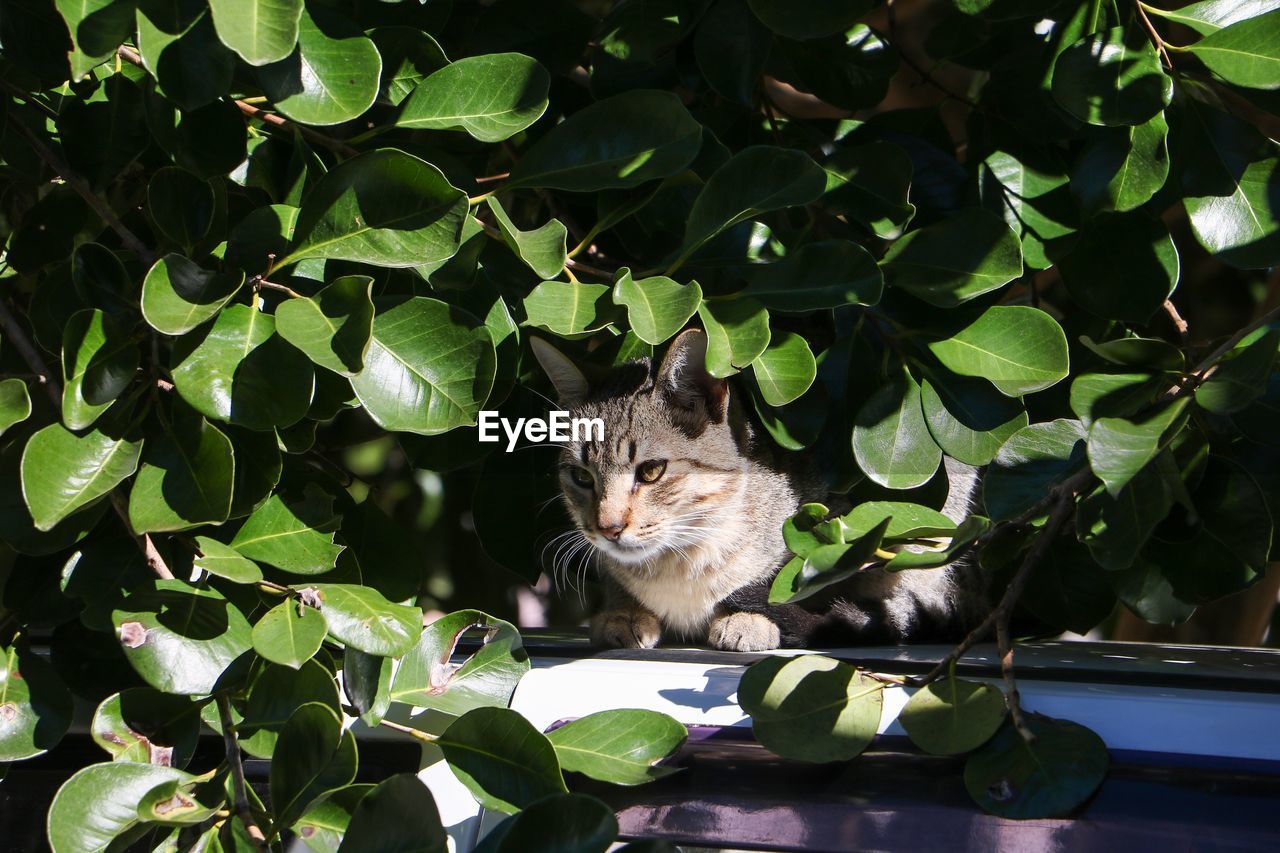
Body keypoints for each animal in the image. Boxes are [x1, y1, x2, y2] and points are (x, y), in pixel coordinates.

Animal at [529, 327, 988, 648]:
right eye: (582, 477)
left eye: (652, 471)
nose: (608, 528)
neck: (684, 558)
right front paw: (622, 612)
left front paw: (751, 617)